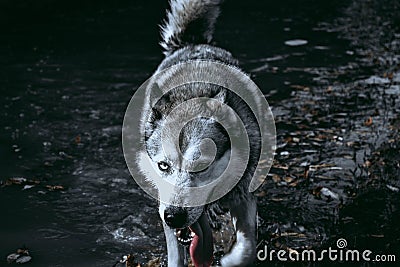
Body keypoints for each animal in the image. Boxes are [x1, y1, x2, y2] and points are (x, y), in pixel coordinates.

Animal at [138, 0, 262, 267]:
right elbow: (176, 257)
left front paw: (230, 260)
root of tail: (192, 42)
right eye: (163, 166)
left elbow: (246, 248)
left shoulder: (244, 195)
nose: (174, 215)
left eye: (202, 165)